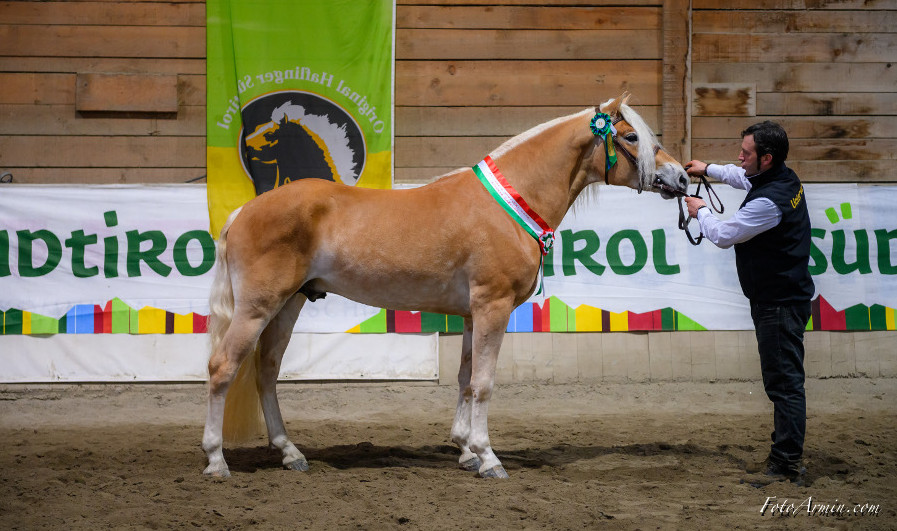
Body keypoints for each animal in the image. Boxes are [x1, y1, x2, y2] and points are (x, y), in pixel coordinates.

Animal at [203, 93, 688, 480]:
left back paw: (290, 453)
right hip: (258, 307)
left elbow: (465, 379)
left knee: (266, 371)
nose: (682, 178)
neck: (510, 203)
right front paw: (489, 458)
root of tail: (244, 211)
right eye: (630, 137)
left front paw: (466, 450)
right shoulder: (494, 305)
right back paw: (216, 461)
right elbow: (485, 383)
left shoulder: (474, 313)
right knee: (223, 368)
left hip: (288, 305)